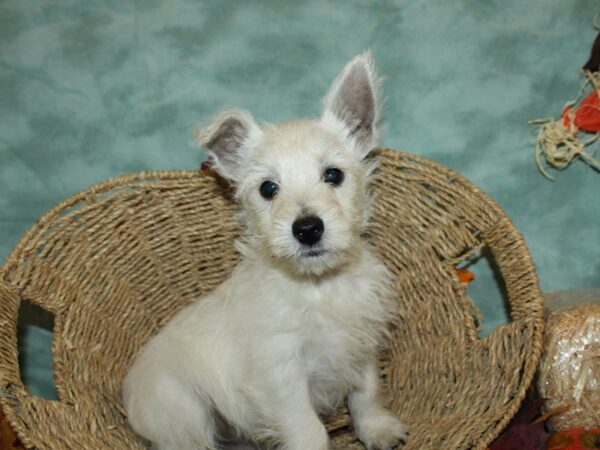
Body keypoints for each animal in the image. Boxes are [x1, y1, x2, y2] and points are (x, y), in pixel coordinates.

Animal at [124, 53, 410, 450]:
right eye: (268, 188)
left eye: (333, 175)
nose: (307, 229)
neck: (319, 287)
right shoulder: (281, 376)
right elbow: (309, 430)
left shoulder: (362, 344)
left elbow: (366, 393)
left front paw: (377, 429)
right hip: (184, 410)